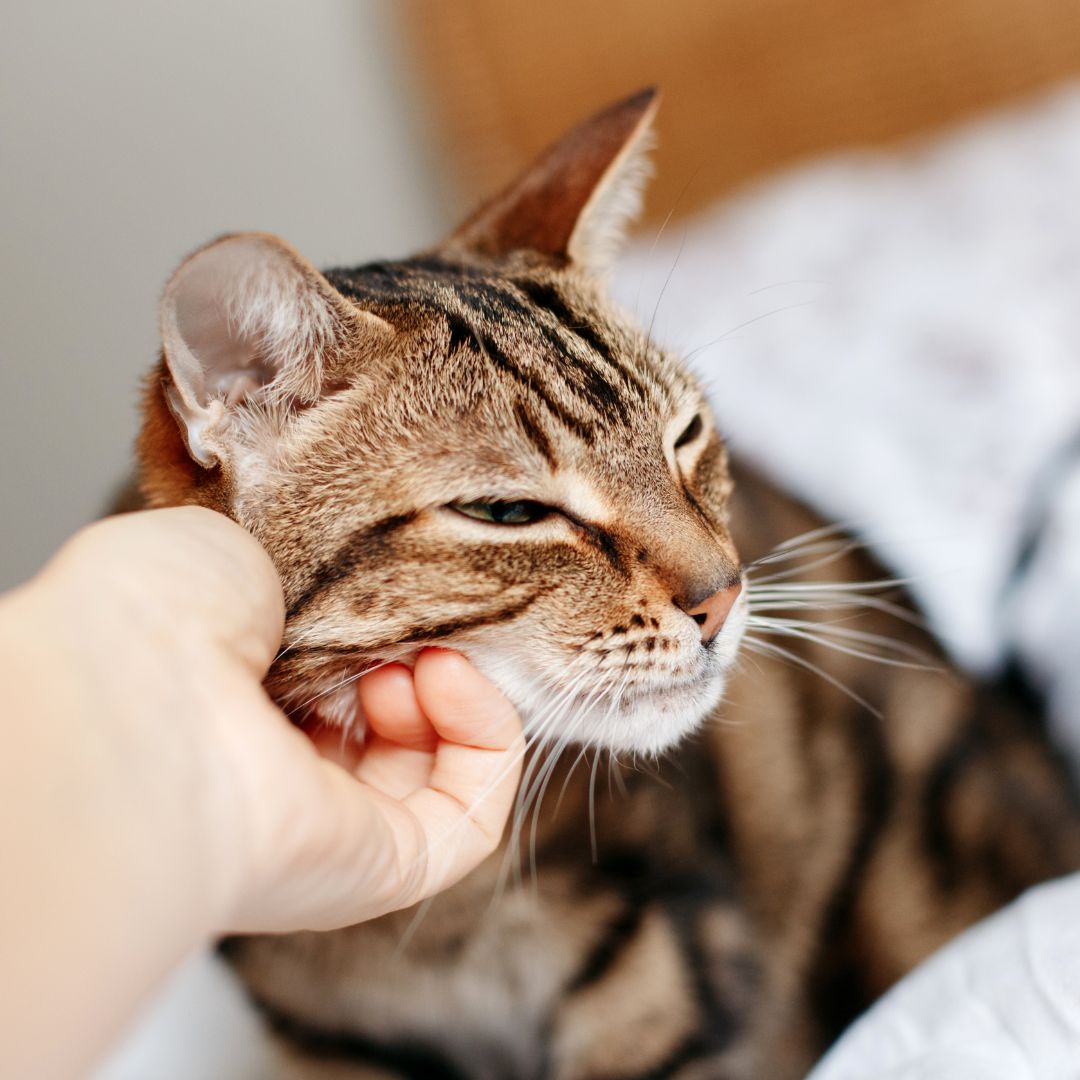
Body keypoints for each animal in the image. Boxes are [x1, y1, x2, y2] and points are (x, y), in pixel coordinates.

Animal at [137, 92, 1080, 1080]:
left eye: (687, 435)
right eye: (508, 511)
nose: (724, 595)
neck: (440, 924)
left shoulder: (667, 962)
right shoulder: (330, 1039)